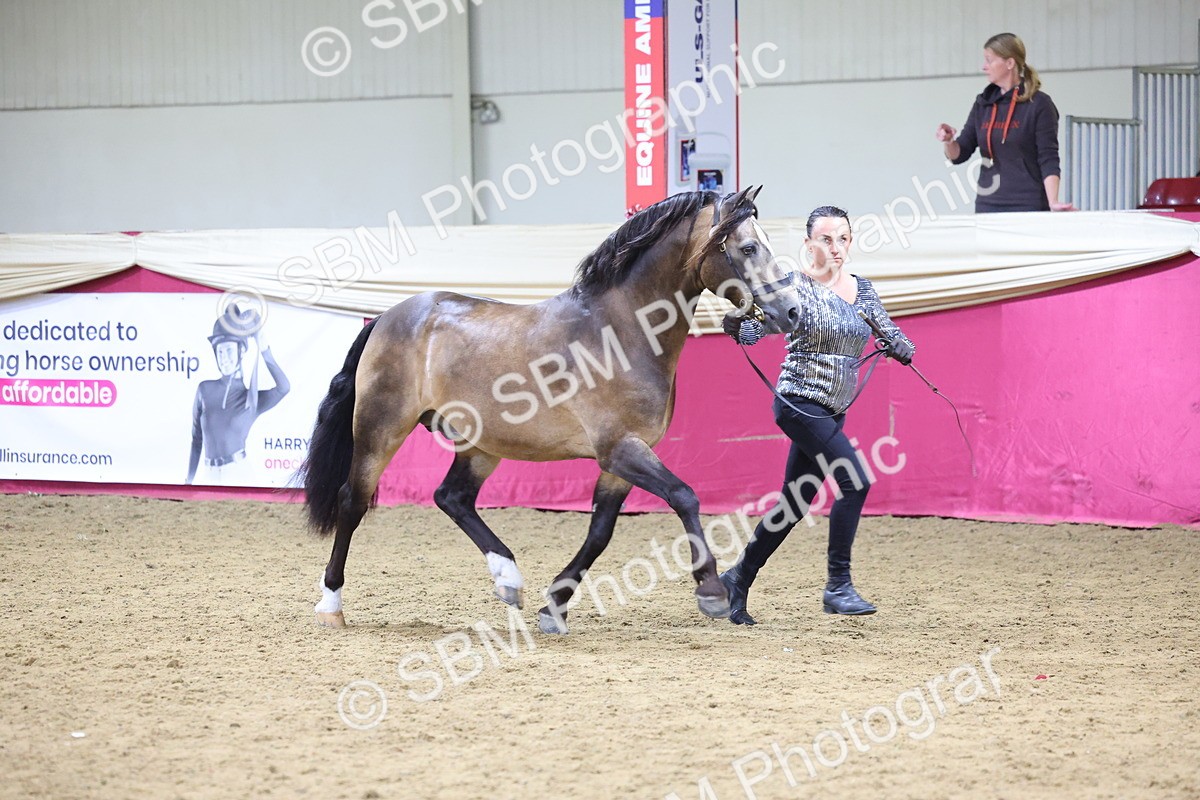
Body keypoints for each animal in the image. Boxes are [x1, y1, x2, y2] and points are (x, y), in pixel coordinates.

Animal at [299, 186, 801, 634]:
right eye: (749, 246)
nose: (792, 312)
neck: (621, 330)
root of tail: (386, 318)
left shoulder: (622, 459)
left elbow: (600, 532)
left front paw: (554, 607)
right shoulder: (620, 449)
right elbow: (685, 496)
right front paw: (711, 591)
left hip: (481, 444)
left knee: (451, 497)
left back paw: (508, 579)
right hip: (380, 428)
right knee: (352, 500)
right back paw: (331, 605)